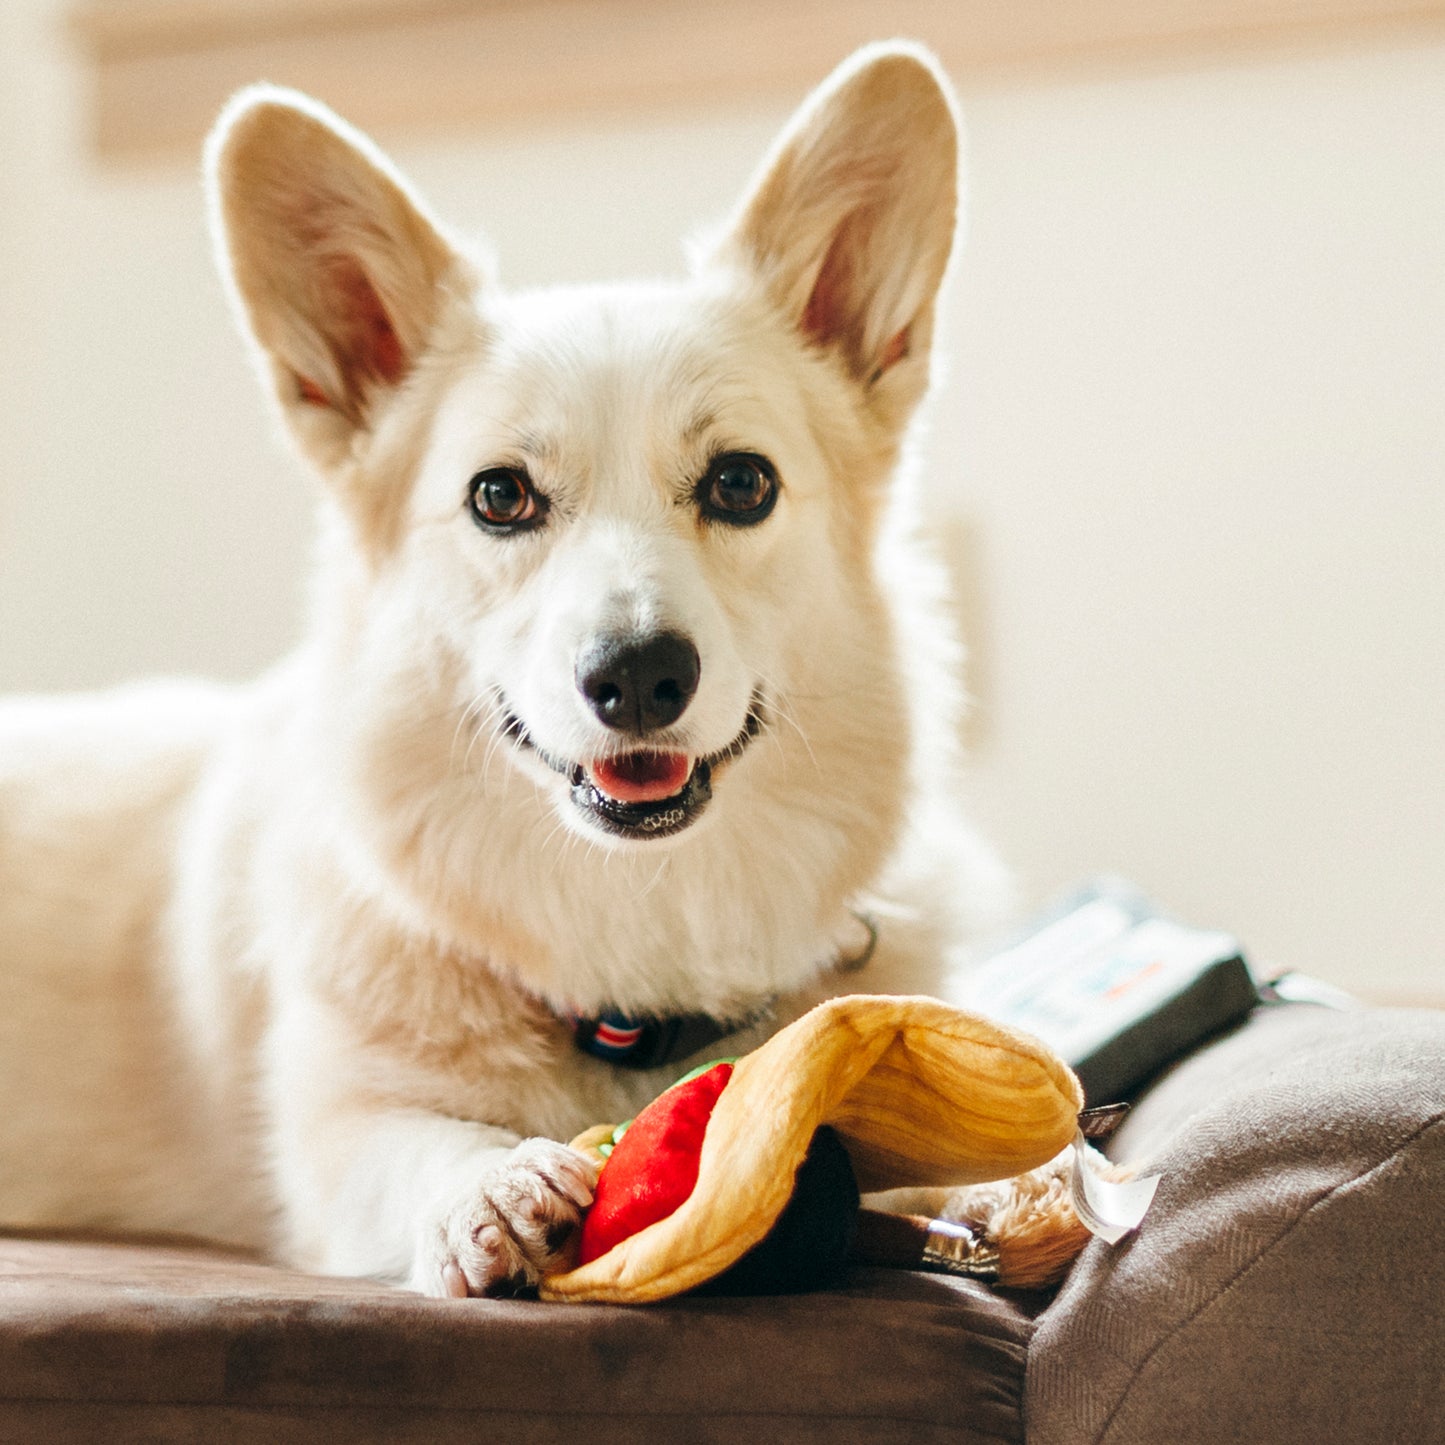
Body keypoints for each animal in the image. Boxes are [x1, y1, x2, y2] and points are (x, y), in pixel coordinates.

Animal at [0, 42, 1011, 1300]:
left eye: (740, 483)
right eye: (499, 496)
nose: (638, 676)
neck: (631, 947)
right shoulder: (336, 1143)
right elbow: (413, 1139)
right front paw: (488, 1182)